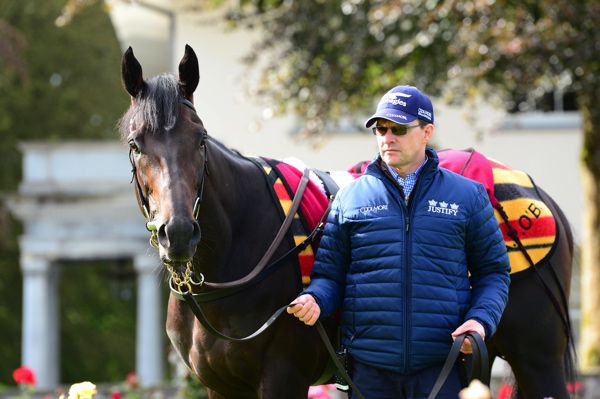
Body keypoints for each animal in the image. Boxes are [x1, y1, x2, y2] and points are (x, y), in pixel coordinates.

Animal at [118, 45, 576, 398]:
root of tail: (536, 194)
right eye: (136, 144)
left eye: (199, 140)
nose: (178, 233)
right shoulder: (221, 386)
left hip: (537, 359)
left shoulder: (282, 377)